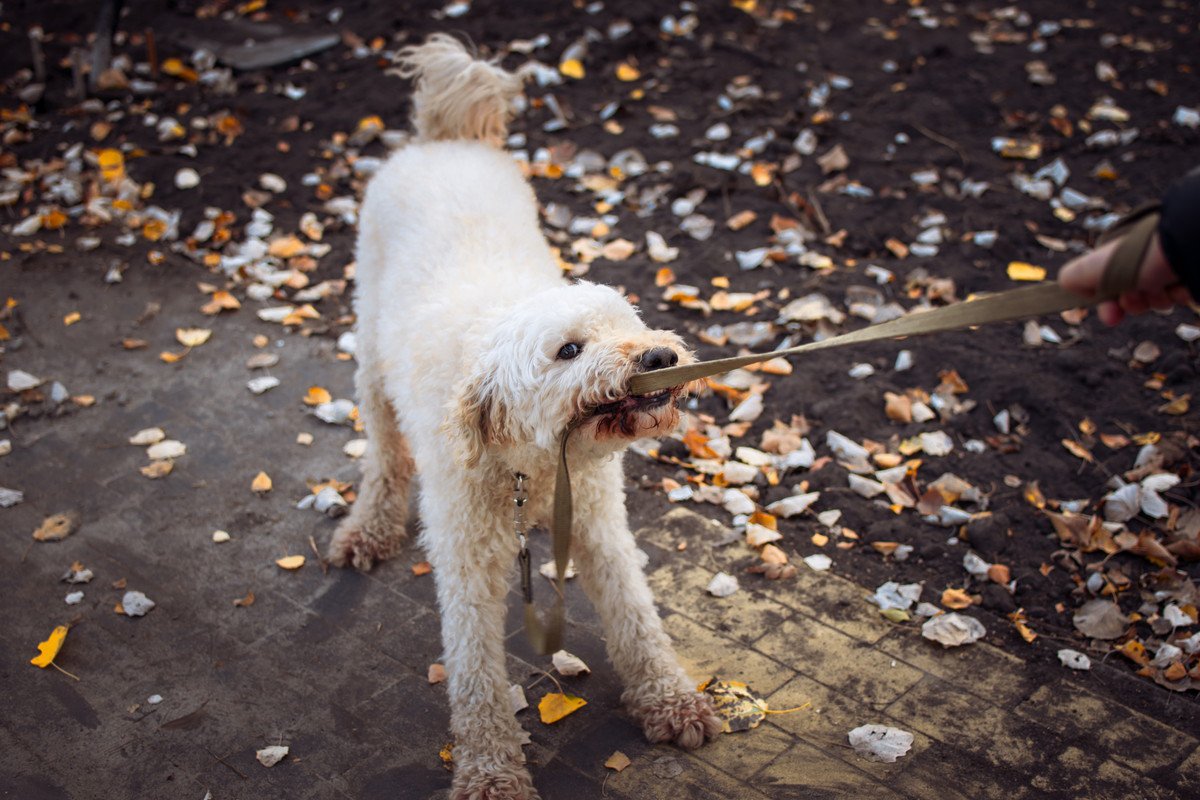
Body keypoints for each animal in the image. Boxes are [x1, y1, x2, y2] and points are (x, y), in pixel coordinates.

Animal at [328, 34, 715, 800]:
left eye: (628, 326)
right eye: (569, 349)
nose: (659, 356)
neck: (533, 466)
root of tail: (443, 138)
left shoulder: (599, 526)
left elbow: (636, 616)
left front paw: (670, 698)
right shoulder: (466, 562)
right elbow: (475, 674)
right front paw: (489, 773)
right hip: (371, 360)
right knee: (385, 453)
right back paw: (368, 526)